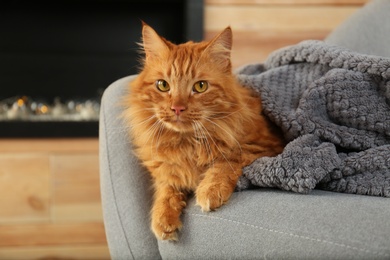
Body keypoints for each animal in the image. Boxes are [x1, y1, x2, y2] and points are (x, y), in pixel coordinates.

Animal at [123, 23, 284, 241]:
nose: (177, 108)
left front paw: (210, 190)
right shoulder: (166, 167)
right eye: (163, 85)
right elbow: (166, 187)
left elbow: (227, 161)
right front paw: (163, 217)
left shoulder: (265, 146)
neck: (188, 143)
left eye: (200, 86)